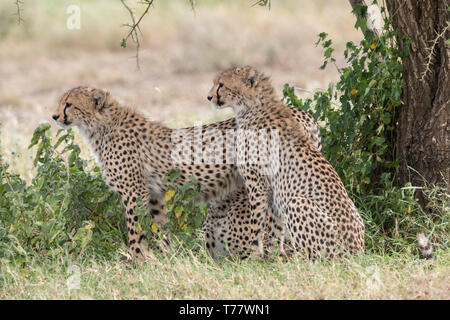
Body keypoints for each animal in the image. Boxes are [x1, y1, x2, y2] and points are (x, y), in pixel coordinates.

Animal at [51, 85, 320, 260]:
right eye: (60, 102)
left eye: (69, 104)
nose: (54, 116)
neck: (101, 125)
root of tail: (301, 113)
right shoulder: (155, 194)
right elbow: (159, 228)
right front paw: (166, 258)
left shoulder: (134, 192)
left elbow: (135, 231)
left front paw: (136, 261)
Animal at [207, 66, 366, 258]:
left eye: (221, 84)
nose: (209, 97)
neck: (252, 107)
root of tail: (356, 251)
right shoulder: (274, 191)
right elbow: (276, 225)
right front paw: (275, 255)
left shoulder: (258, 185)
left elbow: (256, 222)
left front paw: (253, 253)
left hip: (296, 203)